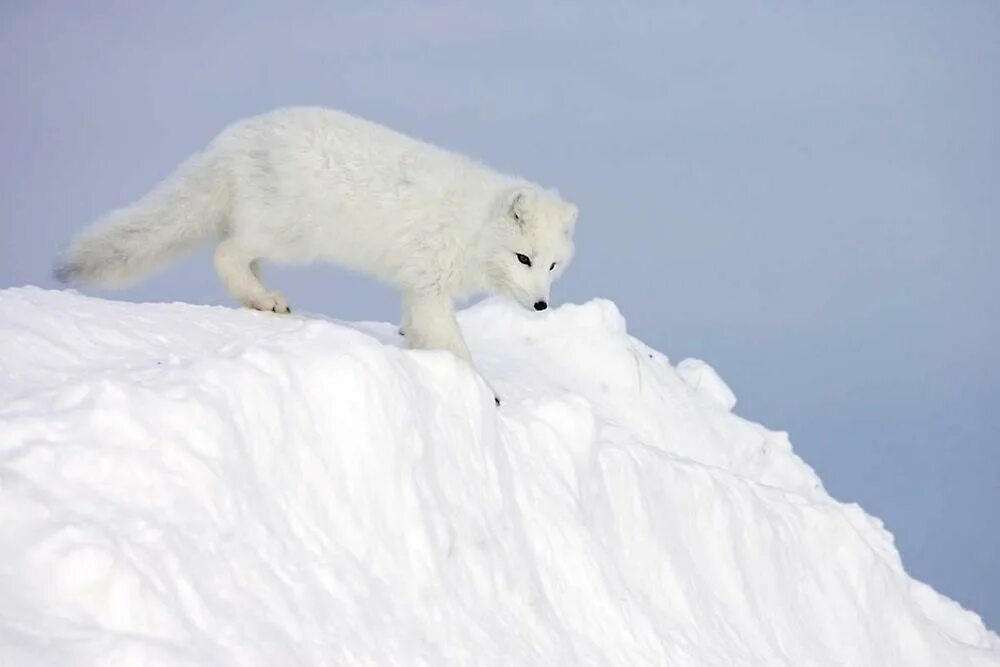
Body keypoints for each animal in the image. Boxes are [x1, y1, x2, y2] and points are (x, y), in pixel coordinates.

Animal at [58, 104, 580, 396]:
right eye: (523, 258)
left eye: (553, 264)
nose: (541, 304)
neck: (472, 227)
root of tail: (236, 137)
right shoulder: (430, 288)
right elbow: (454, 347)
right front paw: (485, 393)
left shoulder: (416, 288)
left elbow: (417, 332)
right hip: (289, 236)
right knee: (225, 253)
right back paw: (265, 298)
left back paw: (263, 300)